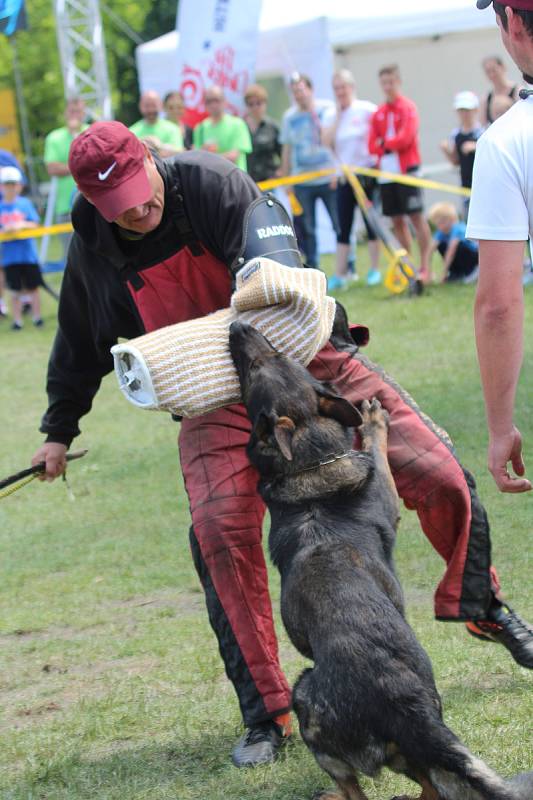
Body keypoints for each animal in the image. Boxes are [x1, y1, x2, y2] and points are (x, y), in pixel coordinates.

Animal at [229, 318, 532, 800]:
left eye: (269, 359)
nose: (238, 324)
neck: (312, 459)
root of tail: (407, 709)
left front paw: (372, 420)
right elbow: (376, 453)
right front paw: (373, 420)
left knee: (392, 787)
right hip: (346, 713)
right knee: (411, 786)